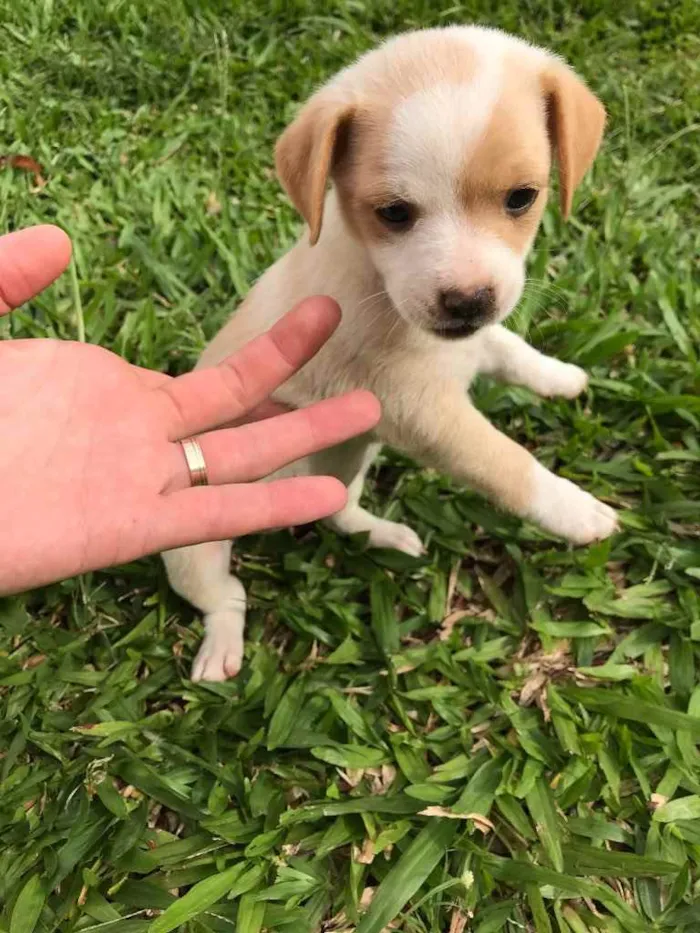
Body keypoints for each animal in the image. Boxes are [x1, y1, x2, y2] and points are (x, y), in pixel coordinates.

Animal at [164, 25, 616, 680]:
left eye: (522, 198)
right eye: (394, 214)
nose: (467, 300)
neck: (378, 282)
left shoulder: (470, 347)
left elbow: (508, 346)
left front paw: (559, 376)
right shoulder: (422, 413)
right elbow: (506, 463)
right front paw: (575, 510)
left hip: (350, 460)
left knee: (335, 511)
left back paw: (385, 535)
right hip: (195, 546)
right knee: (226, 597)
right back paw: (221, 648)